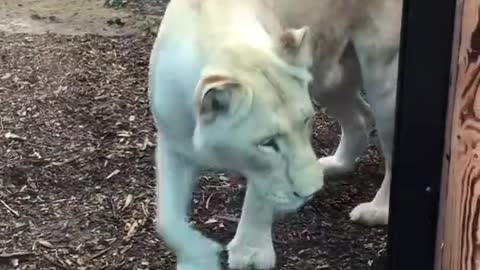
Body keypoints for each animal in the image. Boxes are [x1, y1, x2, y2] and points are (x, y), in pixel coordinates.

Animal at [149, 0, 402, 270]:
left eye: (306, 121)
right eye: (267, 143)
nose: (311, 191)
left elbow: (261, 194)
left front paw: (251, 252)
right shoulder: (173, 143)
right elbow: (167, 219)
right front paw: (199, 258)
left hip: (384, 82)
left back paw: (377, 210)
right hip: (327, 79)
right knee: (360, 117)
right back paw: (337, 164)